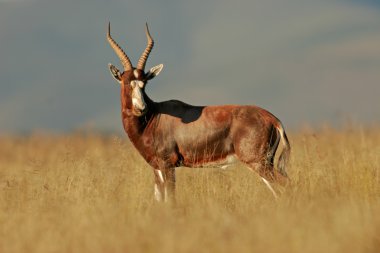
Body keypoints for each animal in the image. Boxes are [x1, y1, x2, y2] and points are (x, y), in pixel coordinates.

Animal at [107, 22, 290, 203]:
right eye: (126, 82)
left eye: (144, 83)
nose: (141, 108)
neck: (154, 116)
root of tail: (272, 118)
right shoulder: (156, 168)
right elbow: (159, 200)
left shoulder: (168, 165)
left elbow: (170, 200)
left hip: (259, 163)